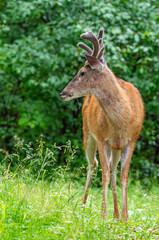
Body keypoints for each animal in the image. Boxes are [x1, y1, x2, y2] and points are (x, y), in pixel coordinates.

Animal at [59, 29, 144, 220]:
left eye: (82, 73)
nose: (62, 93)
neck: (122, 119)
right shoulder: (101, 137)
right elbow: (104, 174)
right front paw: (103, 214)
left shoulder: (131, 140)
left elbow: (124, 176)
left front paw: (125, 217)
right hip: (87, 133)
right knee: (93, 165)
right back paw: (83, 205)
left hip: (115, 147)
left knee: (113, 169)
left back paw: (116, 214)